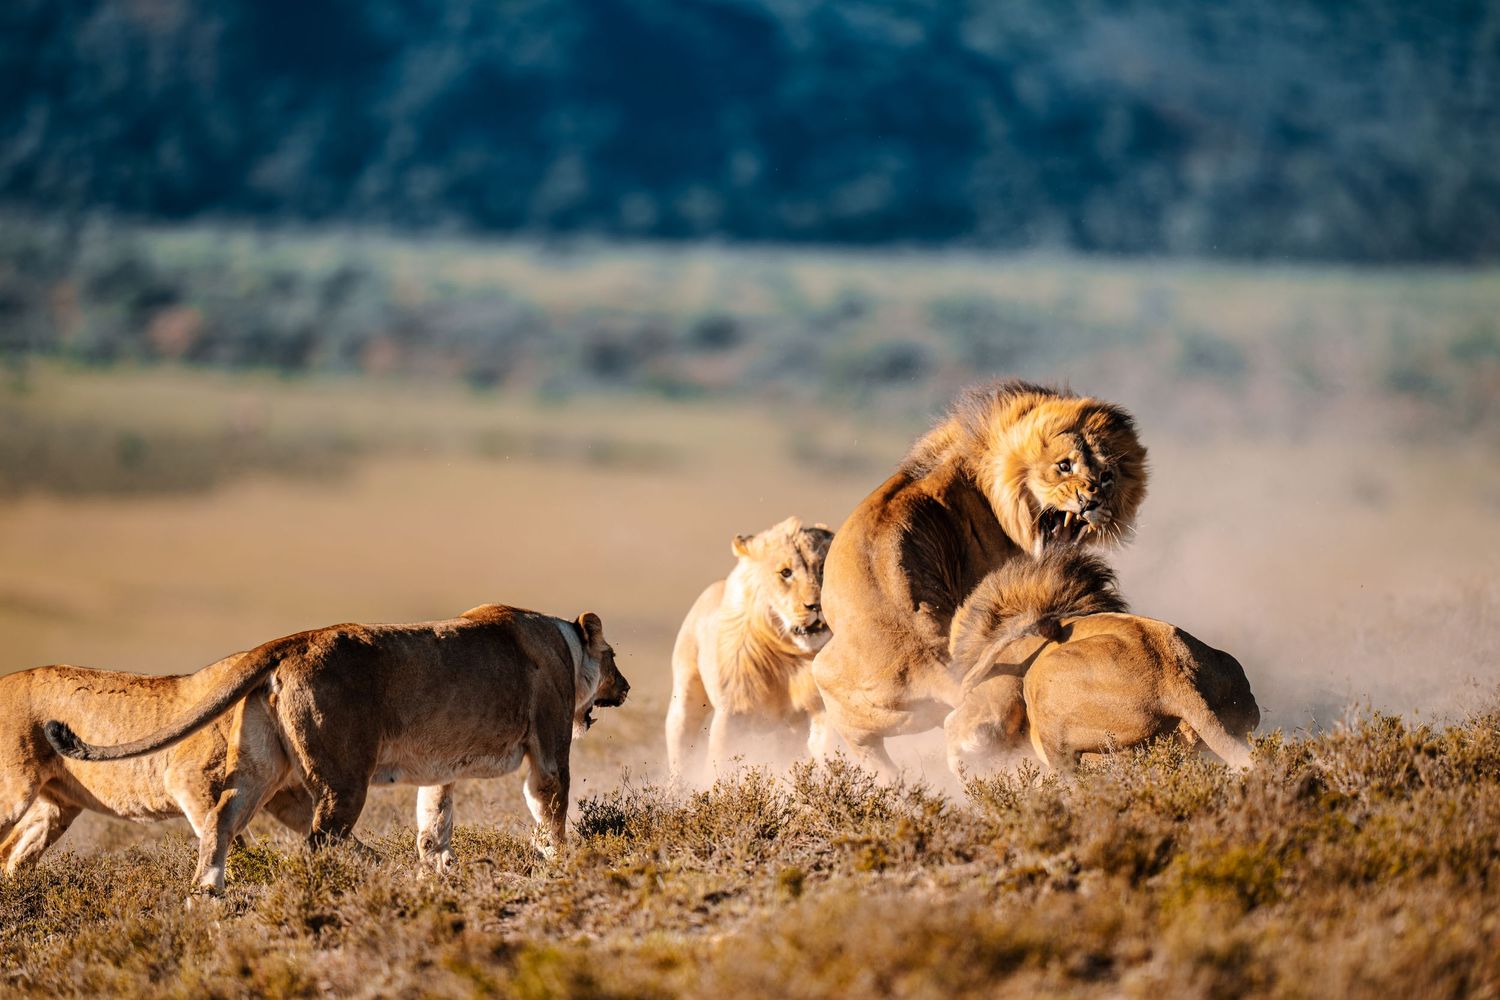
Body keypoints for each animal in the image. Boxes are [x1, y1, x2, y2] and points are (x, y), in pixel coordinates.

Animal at [0, 652, 314, 891]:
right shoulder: (188, 780)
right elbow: (225, 842)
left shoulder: (286, 795)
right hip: (15, 795)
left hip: (56, 808)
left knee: (12, 855)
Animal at [44, 605, 628, 865]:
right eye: (615, 657)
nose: (625, 686)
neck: (564, 643)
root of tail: (291, 642)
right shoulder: (548, 748)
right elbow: (551, 809)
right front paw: (561, 861)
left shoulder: (439, 770)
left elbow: (433, 825)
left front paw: (436, 878)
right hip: (343, 779)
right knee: (318, 843)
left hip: (257, 767)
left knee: (220, 823)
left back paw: (206, 905)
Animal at [665, 517, 834, 781]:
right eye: (786, 572)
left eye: (822, 569)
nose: (816, 605)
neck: (791, 657)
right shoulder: (732, 712)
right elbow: (720, 763)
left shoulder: (820, 708)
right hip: (685, 698)